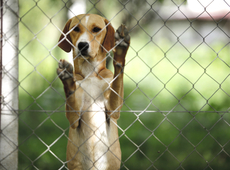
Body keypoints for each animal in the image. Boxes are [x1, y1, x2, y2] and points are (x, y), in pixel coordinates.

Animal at [56, 13, 130, 170]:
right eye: (75, 29)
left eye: (96, 29)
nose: (82, 45)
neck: (89, 72)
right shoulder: (74, 119)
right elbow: (71, 96)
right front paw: (67, 79)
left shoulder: (113, 109)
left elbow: (117, 77)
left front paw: (121, 50)